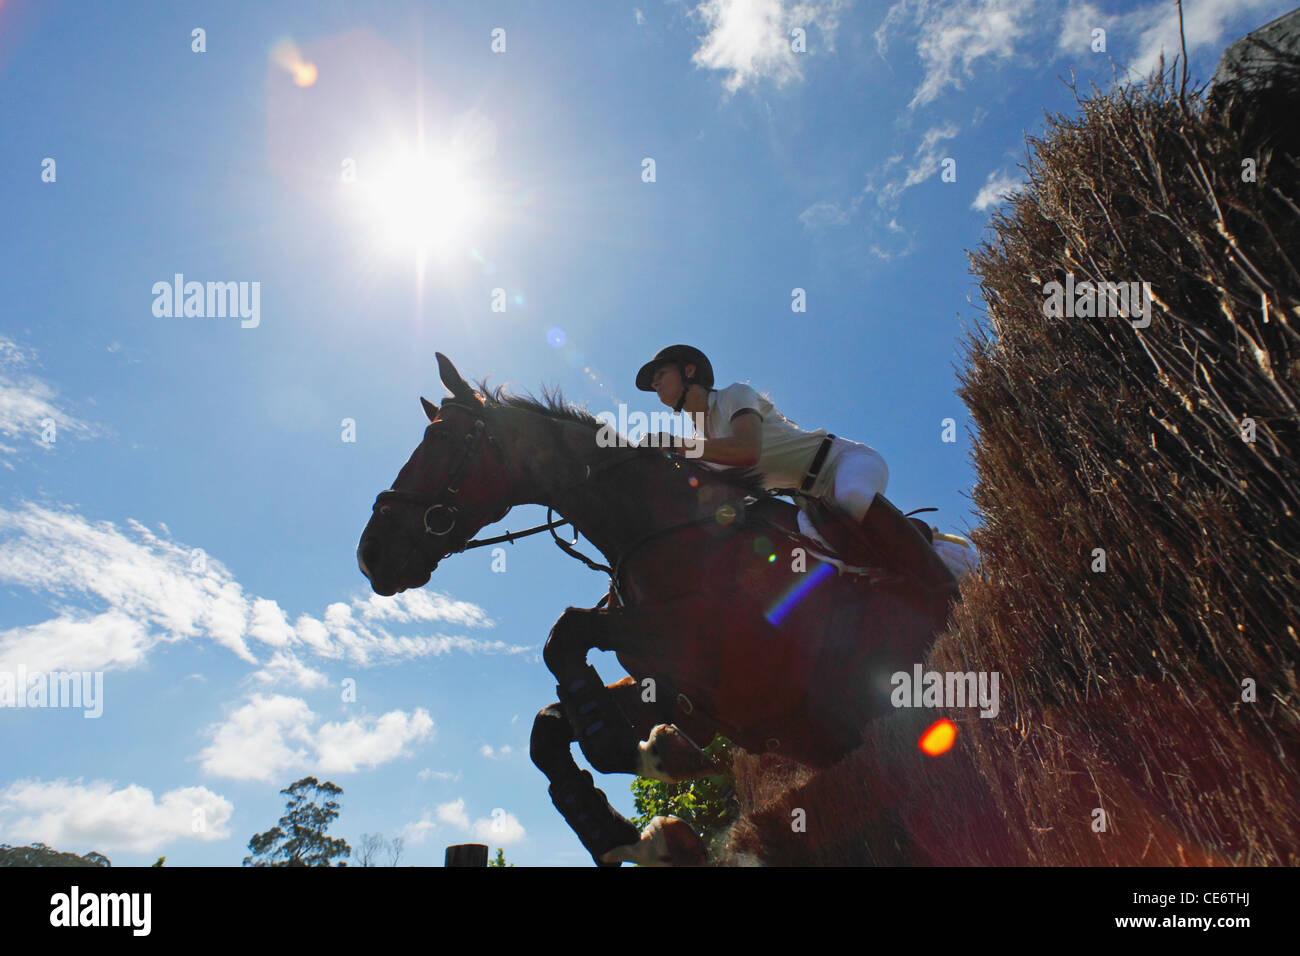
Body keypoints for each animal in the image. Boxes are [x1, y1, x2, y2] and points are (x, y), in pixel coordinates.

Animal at [356, 356, 956, 863]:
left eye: (442, 439)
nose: (370, 555)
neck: (661, 526)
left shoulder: (735, 651)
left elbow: (566, 634)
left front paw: (633, 750)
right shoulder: (675, 682)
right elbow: (549, 721)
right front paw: (623, 830)